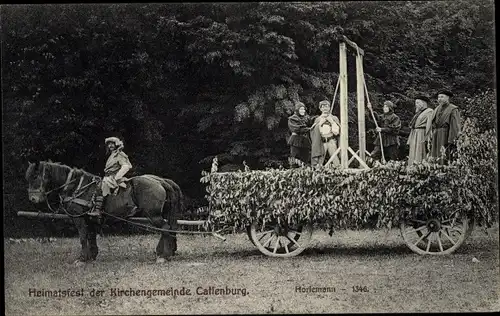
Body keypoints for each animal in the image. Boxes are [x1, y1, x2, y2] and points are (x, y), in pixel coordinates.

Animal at [23, 160, 184, 264]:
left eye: (35, 177)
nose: (33, 198)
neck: (76, 186)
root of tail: (160, 181)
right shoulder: (89, 219)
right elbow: (91, 236)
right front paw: (92, 256)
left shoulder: (79, 218)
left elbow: (83, 237)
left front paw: (82, 259)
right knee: (168, 229)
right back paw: (163, 252)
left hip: (153, 215)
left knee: (165, 229)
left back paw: (164, 256)